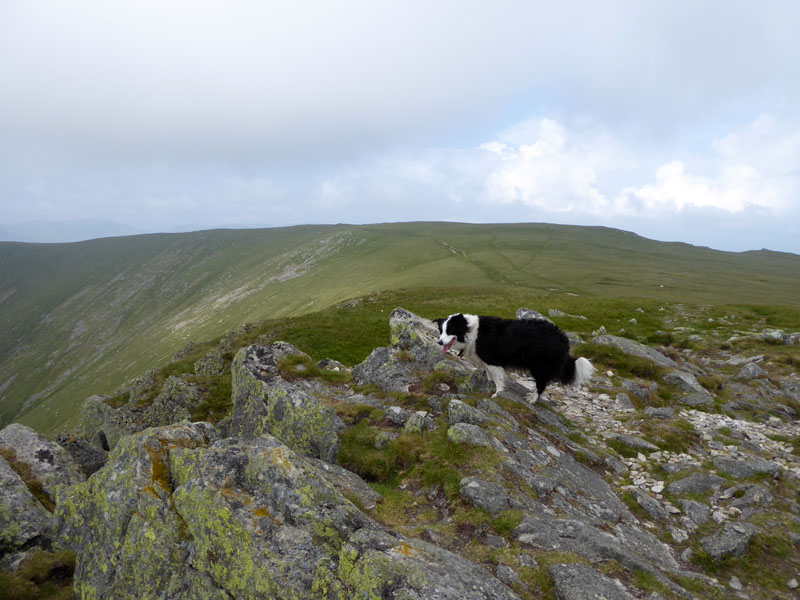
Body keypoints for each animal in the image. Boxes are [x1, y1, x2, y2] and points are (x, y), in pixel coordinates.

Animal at [432, 314, 592, 398]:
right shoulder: (487, 362)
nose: (439, 342)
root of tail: (563, 339)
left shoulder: (493, 361)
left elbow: (498, 379)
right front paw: (488, 381)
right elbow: (489, 374)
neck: (469, 333)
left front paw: (497, 393)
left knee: (542, 384)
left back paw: (532, 399)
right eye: (441, 331)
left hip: (539, 365)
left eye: (450, 330)